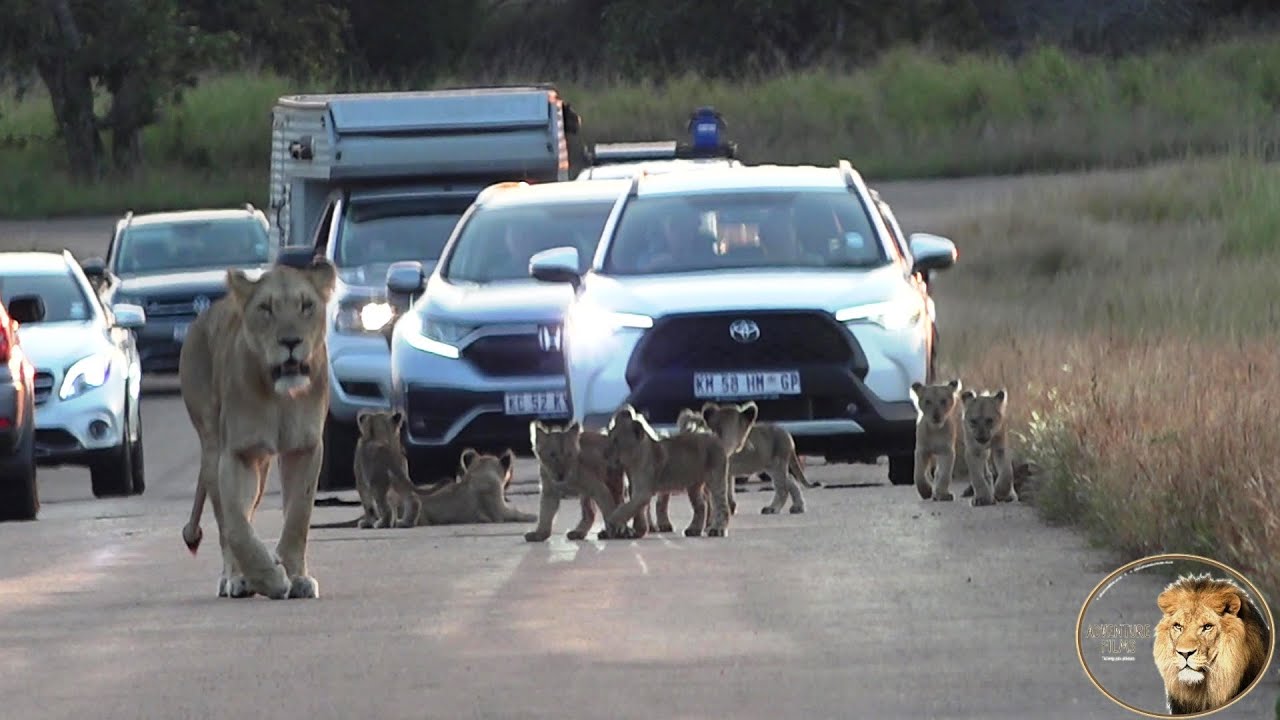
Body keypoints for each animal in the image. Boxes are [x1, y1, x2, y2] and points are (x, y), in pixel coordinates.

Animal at [178, 259, 337, 600]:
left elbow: (298, 516)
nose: (290, 342)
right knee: (225, 522)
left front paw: (297, 576)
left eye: (306, 305)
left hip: (261, 469)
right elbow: (236, 526)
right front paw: (270, 578)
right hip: (212, 446)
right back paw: (237, 579)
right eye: (266, 308)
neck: (281, 397)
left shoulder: (305, 448)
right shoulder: (237, 454)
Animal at [602, 403, 755, 539]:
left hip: (715, 479)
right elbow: (637, 511)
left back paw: (717, 530)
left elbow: (624, 509)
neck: (632, 462)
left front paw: (612, 522)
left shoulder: (643, 492)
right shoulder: (636, 491)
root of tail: (717, 439)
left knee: (722, 506)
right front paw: (638, 531)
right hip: (694, 486)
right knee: (701, 506)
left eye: (615, 441)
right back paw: (693, 530)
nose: (605, 454)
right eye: (610, 436)